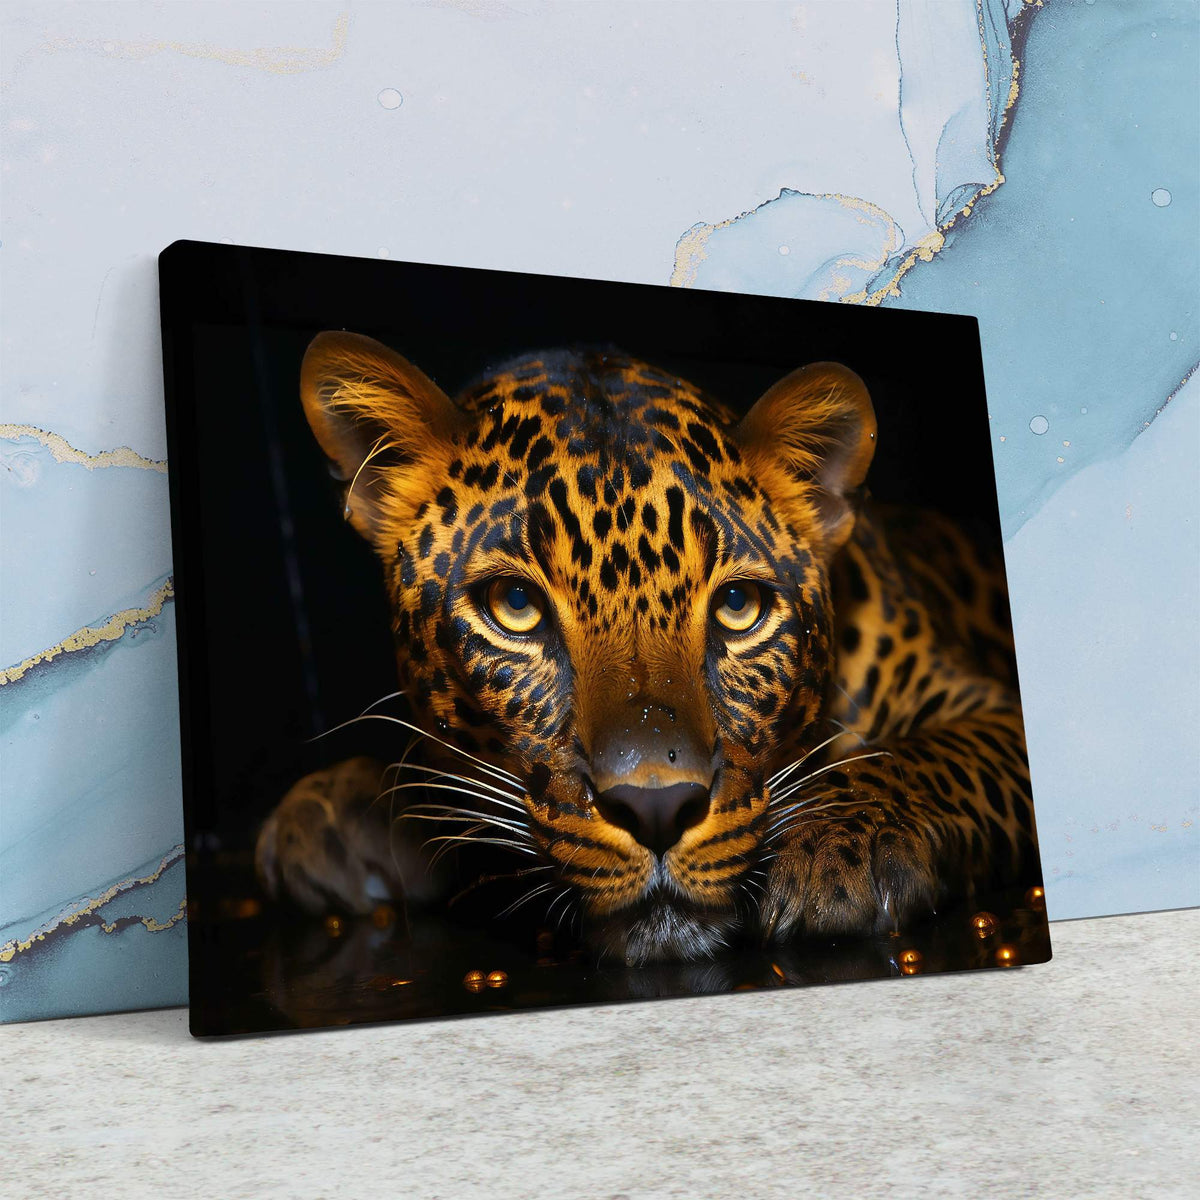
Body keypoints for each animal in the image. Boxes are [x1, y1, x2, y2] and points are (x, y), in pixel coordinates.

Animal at [255, 330, 1041, 965]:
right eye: (516, 608)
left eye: (738, 608)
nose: (657, 809)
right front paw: (333, 811)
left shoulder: (993, 707)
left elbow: (938, 754)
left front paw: (838, 839)